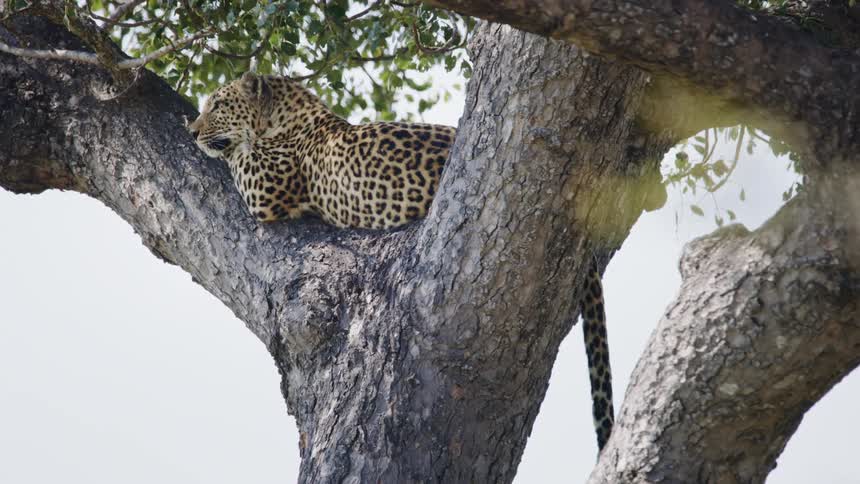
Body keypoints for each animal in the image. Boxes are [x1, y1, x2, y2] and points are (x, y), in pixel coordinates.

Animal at [188, 72, 615, 451]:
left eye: (219, 105)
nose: (192, 131)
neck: (289, 111)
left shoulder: (263, 188)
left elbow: (236, 155)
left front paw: (217, 142)